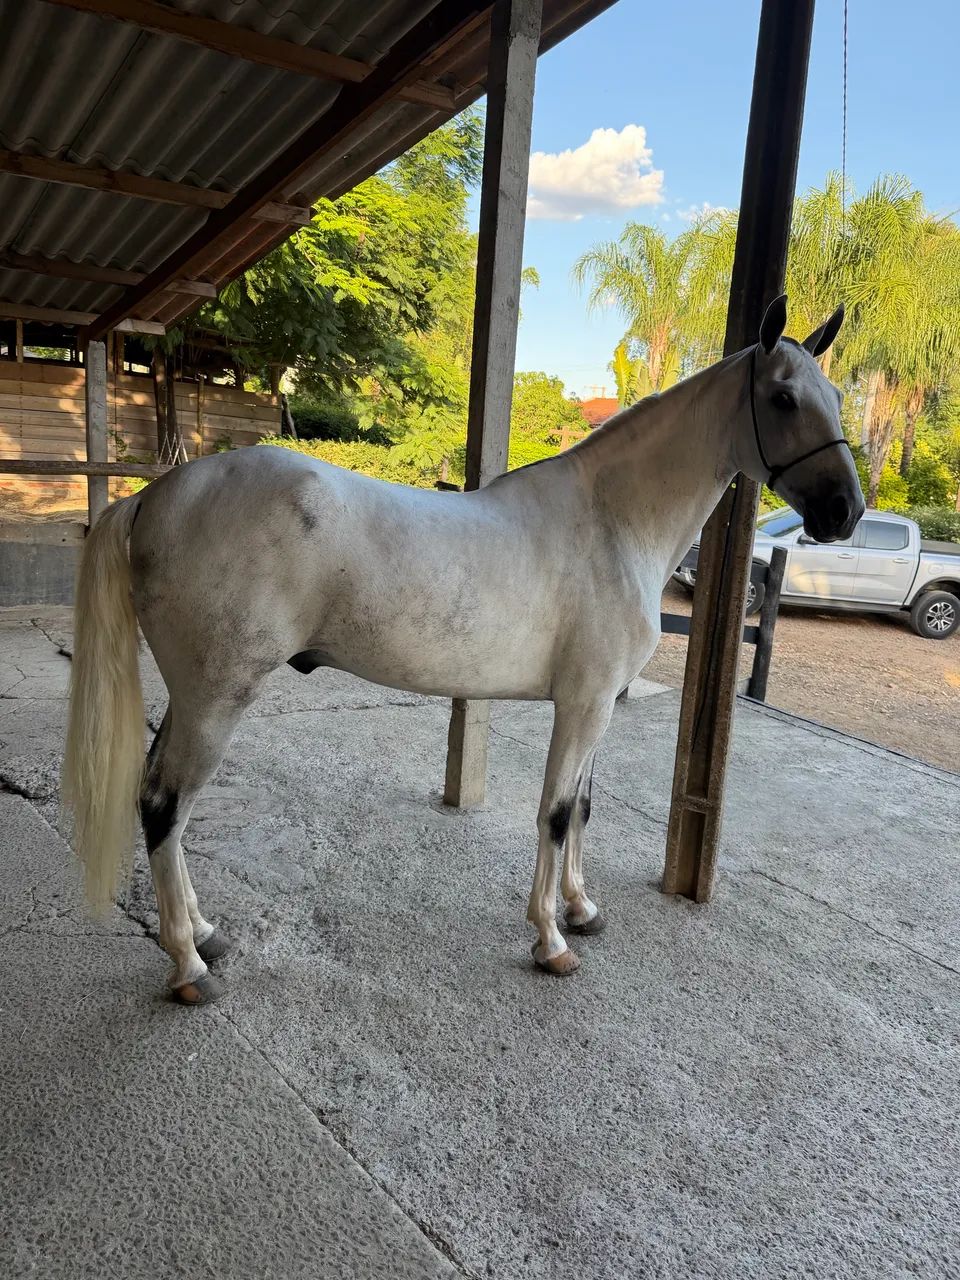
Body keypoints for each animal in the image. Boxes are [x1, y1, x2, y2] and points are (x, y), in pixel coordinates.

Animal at [62, 295, 863, 1005]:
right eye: (784, 398)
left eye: (835, 395)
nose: (845, 511)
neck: (613, 522)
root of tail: (156, 496)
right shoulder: (582, 704)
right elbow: (556, 812)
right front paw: (551, 940)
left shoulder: (601, 703)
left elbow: (584, 806)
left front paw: (581, 910)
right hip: (216, 697)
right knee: (164, 805)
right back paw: (188, 966)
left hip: (195, 695)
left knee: (166, 805)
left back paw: (205, 932)